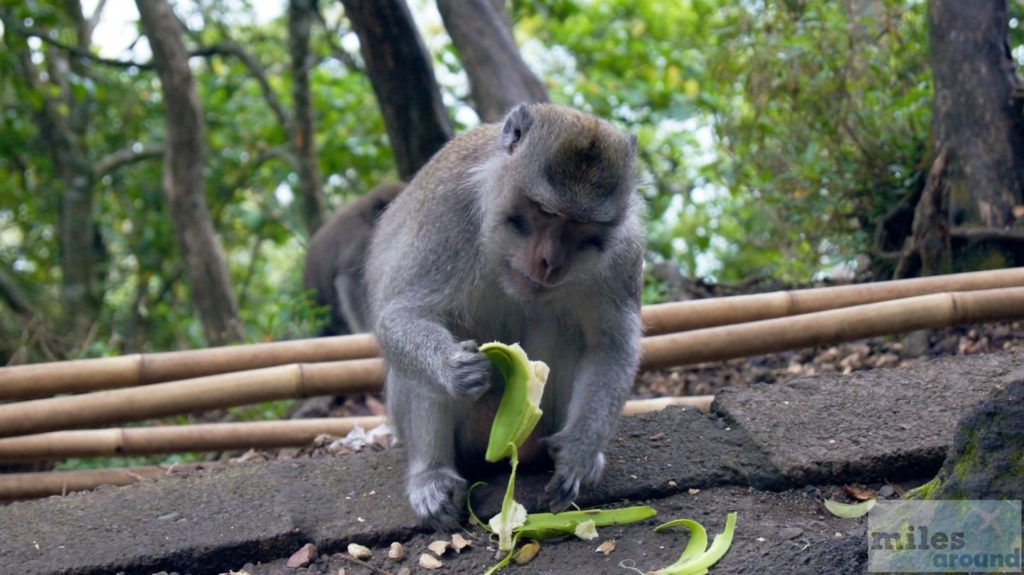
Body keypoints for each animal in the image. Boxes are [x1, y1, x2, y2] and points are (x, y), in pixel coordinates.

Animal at [364, 103, 643, 527]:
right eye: (545, 211)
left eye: (583, 225)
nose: (550, 263)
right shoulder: (448, 210)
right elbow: (403, 314)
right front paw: (453, 367)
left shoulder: (625, 250)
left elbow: (610, 344)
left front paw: (579, 450)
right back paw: (431, 474)